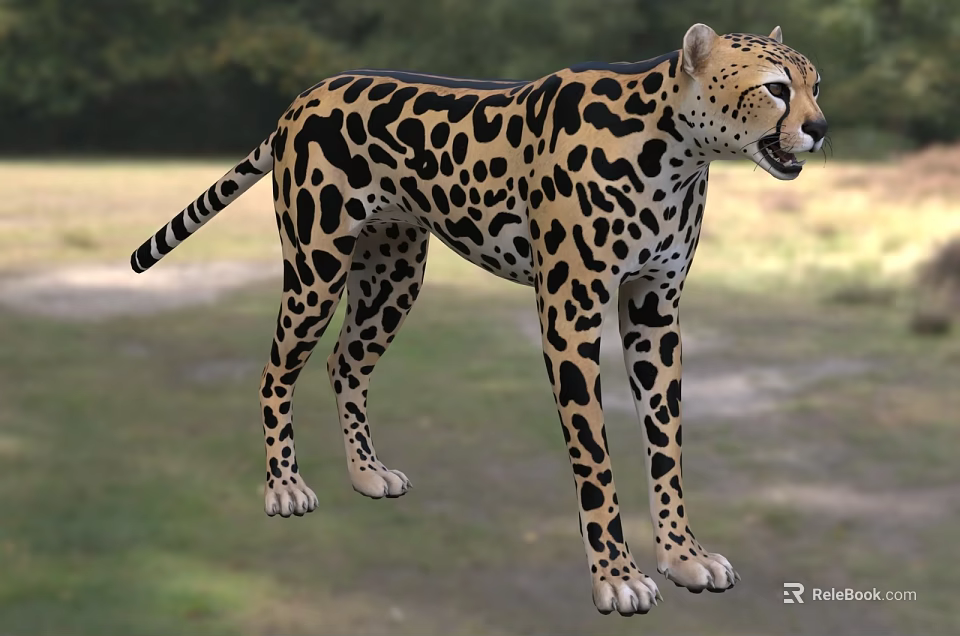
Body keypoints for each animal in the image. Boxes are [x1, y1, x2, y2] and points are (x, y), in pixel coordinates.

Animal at [130, 23, 826, 617]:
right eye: (775, 87)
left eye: (814, 84)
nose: (820, 128)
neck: (673, 148)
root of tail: (305, 95)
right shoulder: (570, 315)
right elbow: (595, 460)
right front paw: (617, 576)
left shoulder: (655, 310)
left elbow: (667, 445)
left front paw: (683, 558)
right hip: (316, 268)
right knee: (277, 370)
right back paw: (283, 486)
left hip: (393, 276)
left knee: (344, 363)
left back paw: (366, 473)